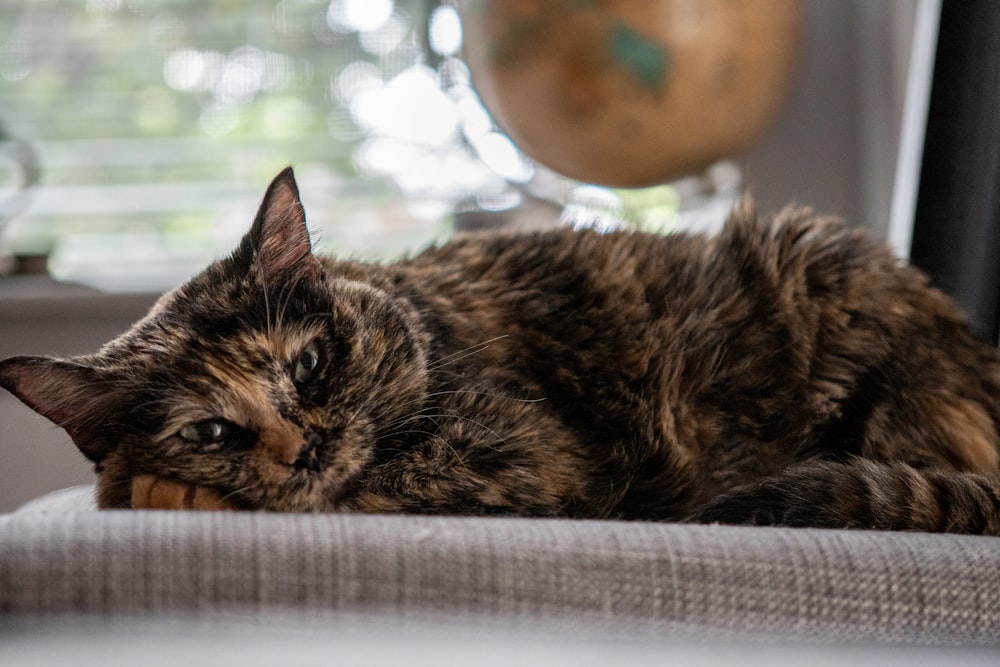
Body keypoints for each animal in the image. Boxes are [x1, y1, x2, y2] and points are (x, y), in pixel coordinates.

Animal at [1, 170, 1000, 536]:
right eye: (209, 430)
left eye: (310, 365)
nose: (304, 446)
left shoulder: (523, 451)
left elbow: (369, 485)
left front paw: (165, 492)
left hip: (820, 264)